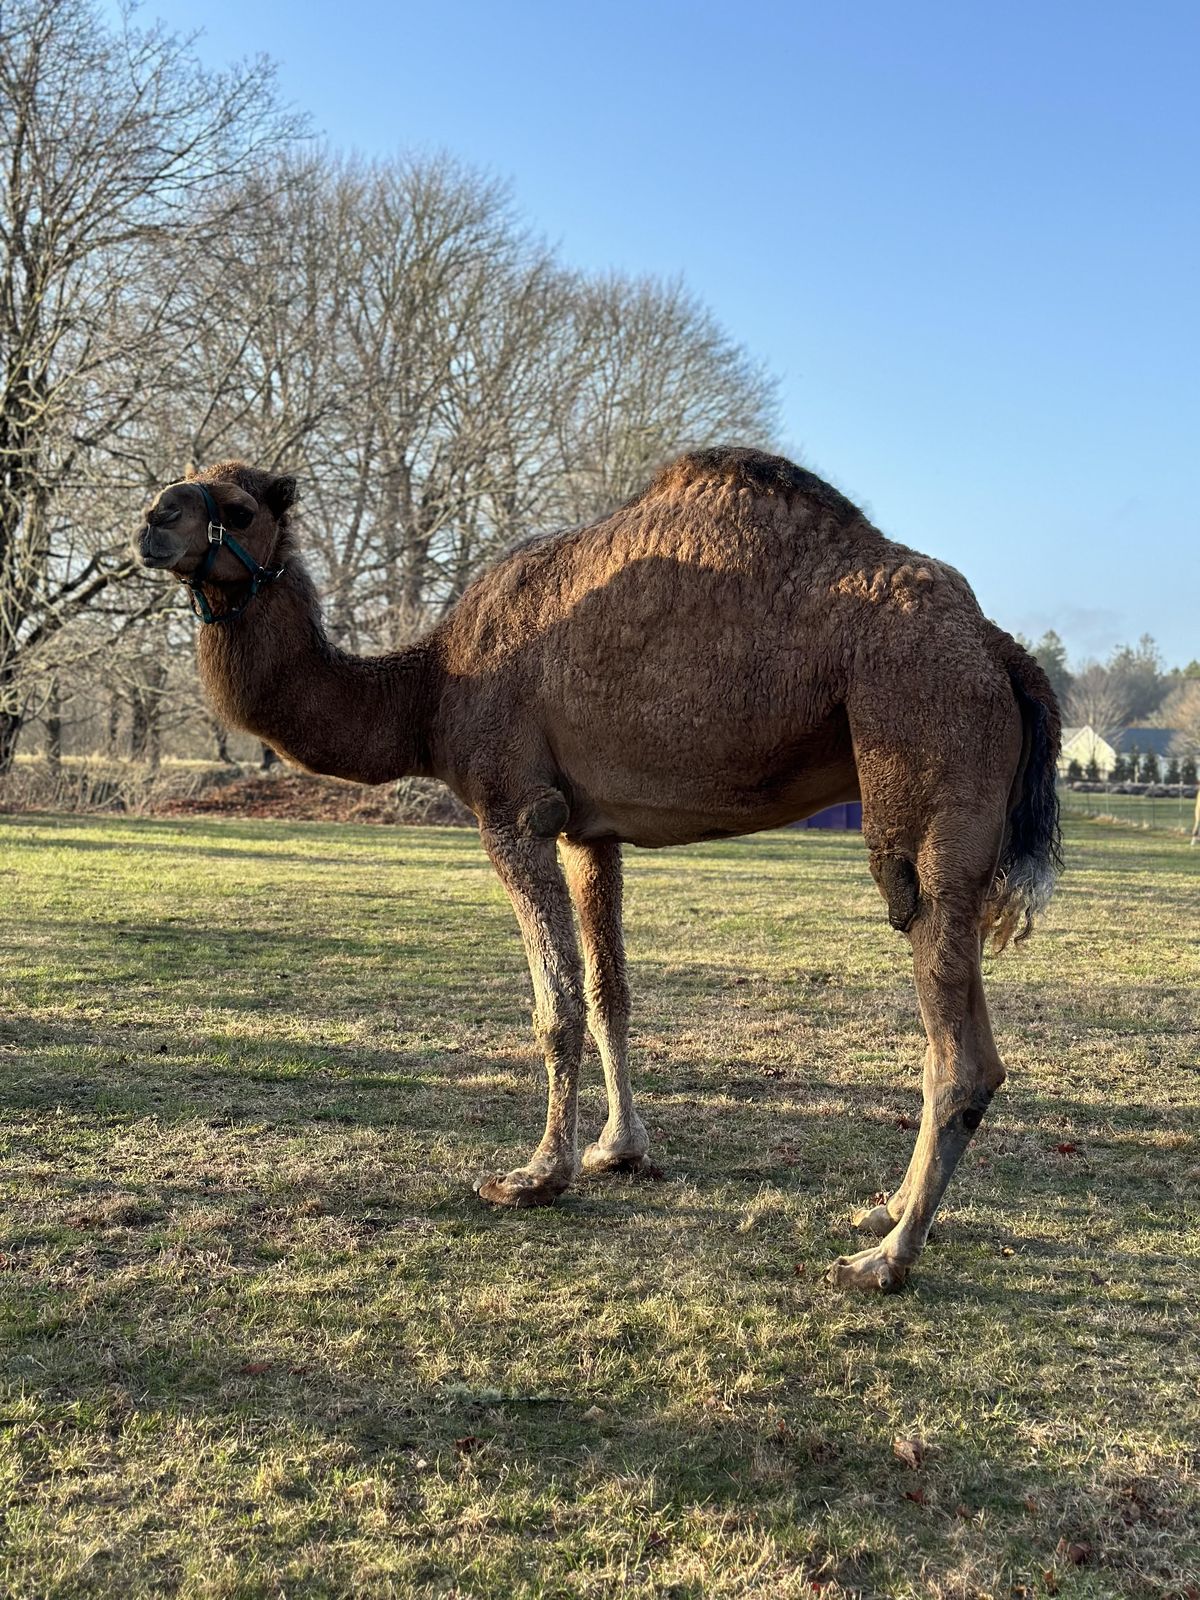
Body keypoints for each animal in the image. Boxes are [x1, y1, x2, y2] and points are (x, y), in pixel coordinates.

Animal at [136, 448, 1061, 1292]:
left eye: (240, 507)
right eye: (182, 484)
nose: (152, 519)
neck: (430, 687)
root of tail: (1001, 651)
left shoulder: (513, 807)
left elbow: (557, 1006)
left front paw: (535, 1175)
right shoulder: (590, 828)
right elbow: (612, 990)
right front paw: (619, 1149)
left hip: (921, 743)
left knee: (953, 1033)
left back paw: (885, 1259)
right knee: (964, 1037)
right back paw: (884, 1210)